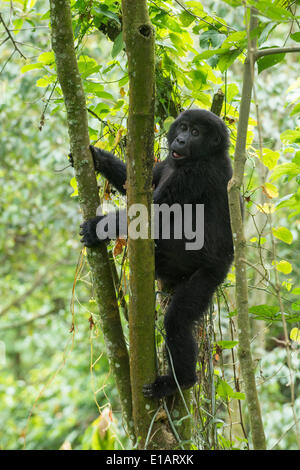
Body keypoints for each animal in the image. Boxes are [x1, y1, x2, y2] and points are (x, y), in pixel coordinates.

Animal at [78, 108, 233, 398]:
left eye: (196, 132)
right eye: (183, 127)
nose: (181, 140)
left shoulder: (197, 174)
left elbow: (152, 214)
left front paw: (98, 227)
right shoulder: (163, 166)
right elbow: (135, 185)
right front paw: (97, 157)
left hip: (210, 275)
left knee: (178, 320)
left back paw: (179, 381)